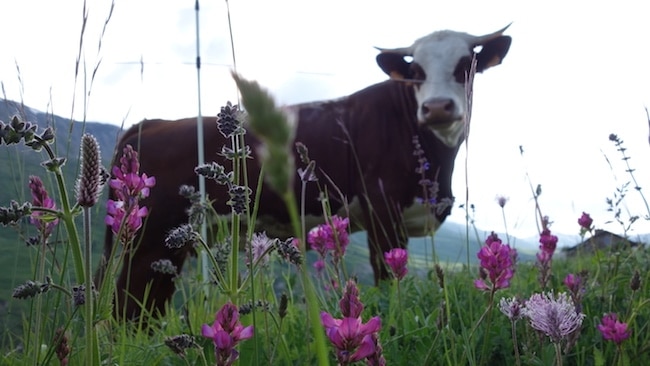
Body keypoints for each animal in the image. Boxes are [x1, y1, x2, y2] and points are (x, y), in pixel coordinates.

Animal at [97, 25, 512, 318]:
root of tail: (151, 124)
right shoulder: (383, 215)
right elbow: (386, 282)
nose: (438, 107)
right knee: (126, 311)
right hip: (149, 243)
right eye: (416, 71)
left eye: (465, 65)